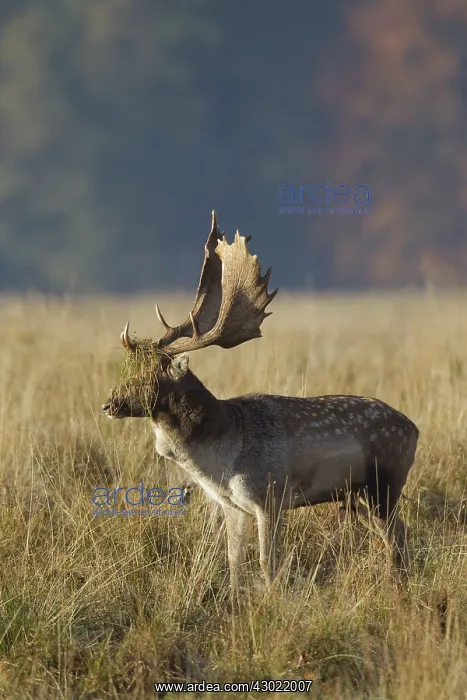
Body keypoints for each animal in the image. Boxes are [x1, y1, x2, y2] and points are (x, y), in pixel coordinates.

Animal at [101, 211, 419, 587]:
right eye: (129, 370)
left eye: (149, 376)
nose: (109, 404)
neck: (221, 456)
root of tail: (414, 429)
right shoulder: (231, 506)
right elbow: (234, 563)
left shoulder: (271, 495)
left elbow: (269, 563)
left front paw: (271, 597)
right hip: (360, 495)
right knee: (398, 536)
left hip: (385, 484)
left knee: (397, 538)